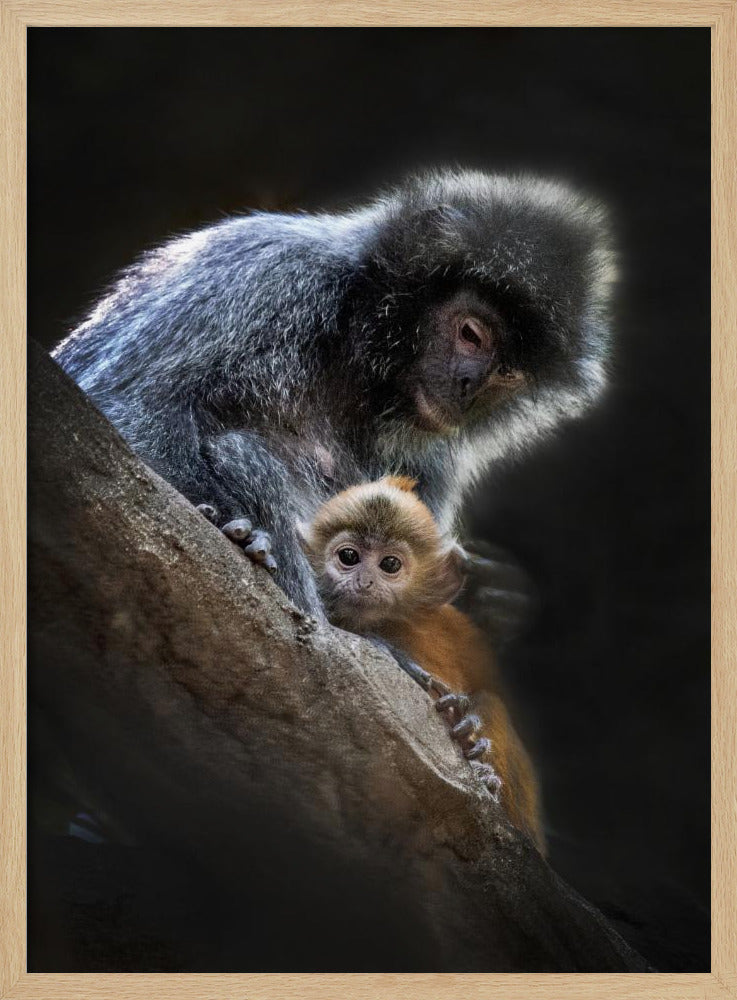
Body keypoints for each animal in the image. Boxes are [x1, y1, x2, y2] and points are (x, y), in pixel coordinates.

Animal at [53, 169, 614, 633]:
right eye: (471, 333)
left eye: (507, 374)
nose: (468, 385)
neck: (353, 353)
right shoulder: (267, 271)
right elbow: (127, 405)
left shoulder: (434, 453)